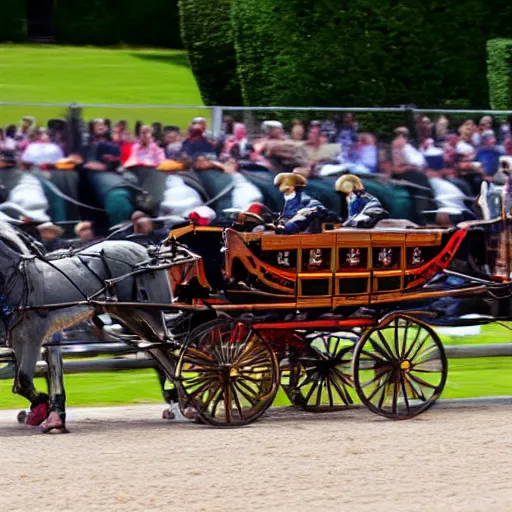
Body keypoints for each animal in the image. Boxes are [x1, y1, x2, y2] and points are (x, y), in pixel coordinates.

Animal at [0, 221, 174, 432]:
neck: (21, 279)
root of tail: (148, 251)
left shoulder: (34, 336)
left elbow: (25, 378)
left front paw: (45, 409)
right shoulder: (19, 339)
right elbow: (21, 383)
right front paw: (42, 411)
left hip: (152, 312)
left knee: (170, 348)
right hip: (131, 317)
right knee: (159, 352)